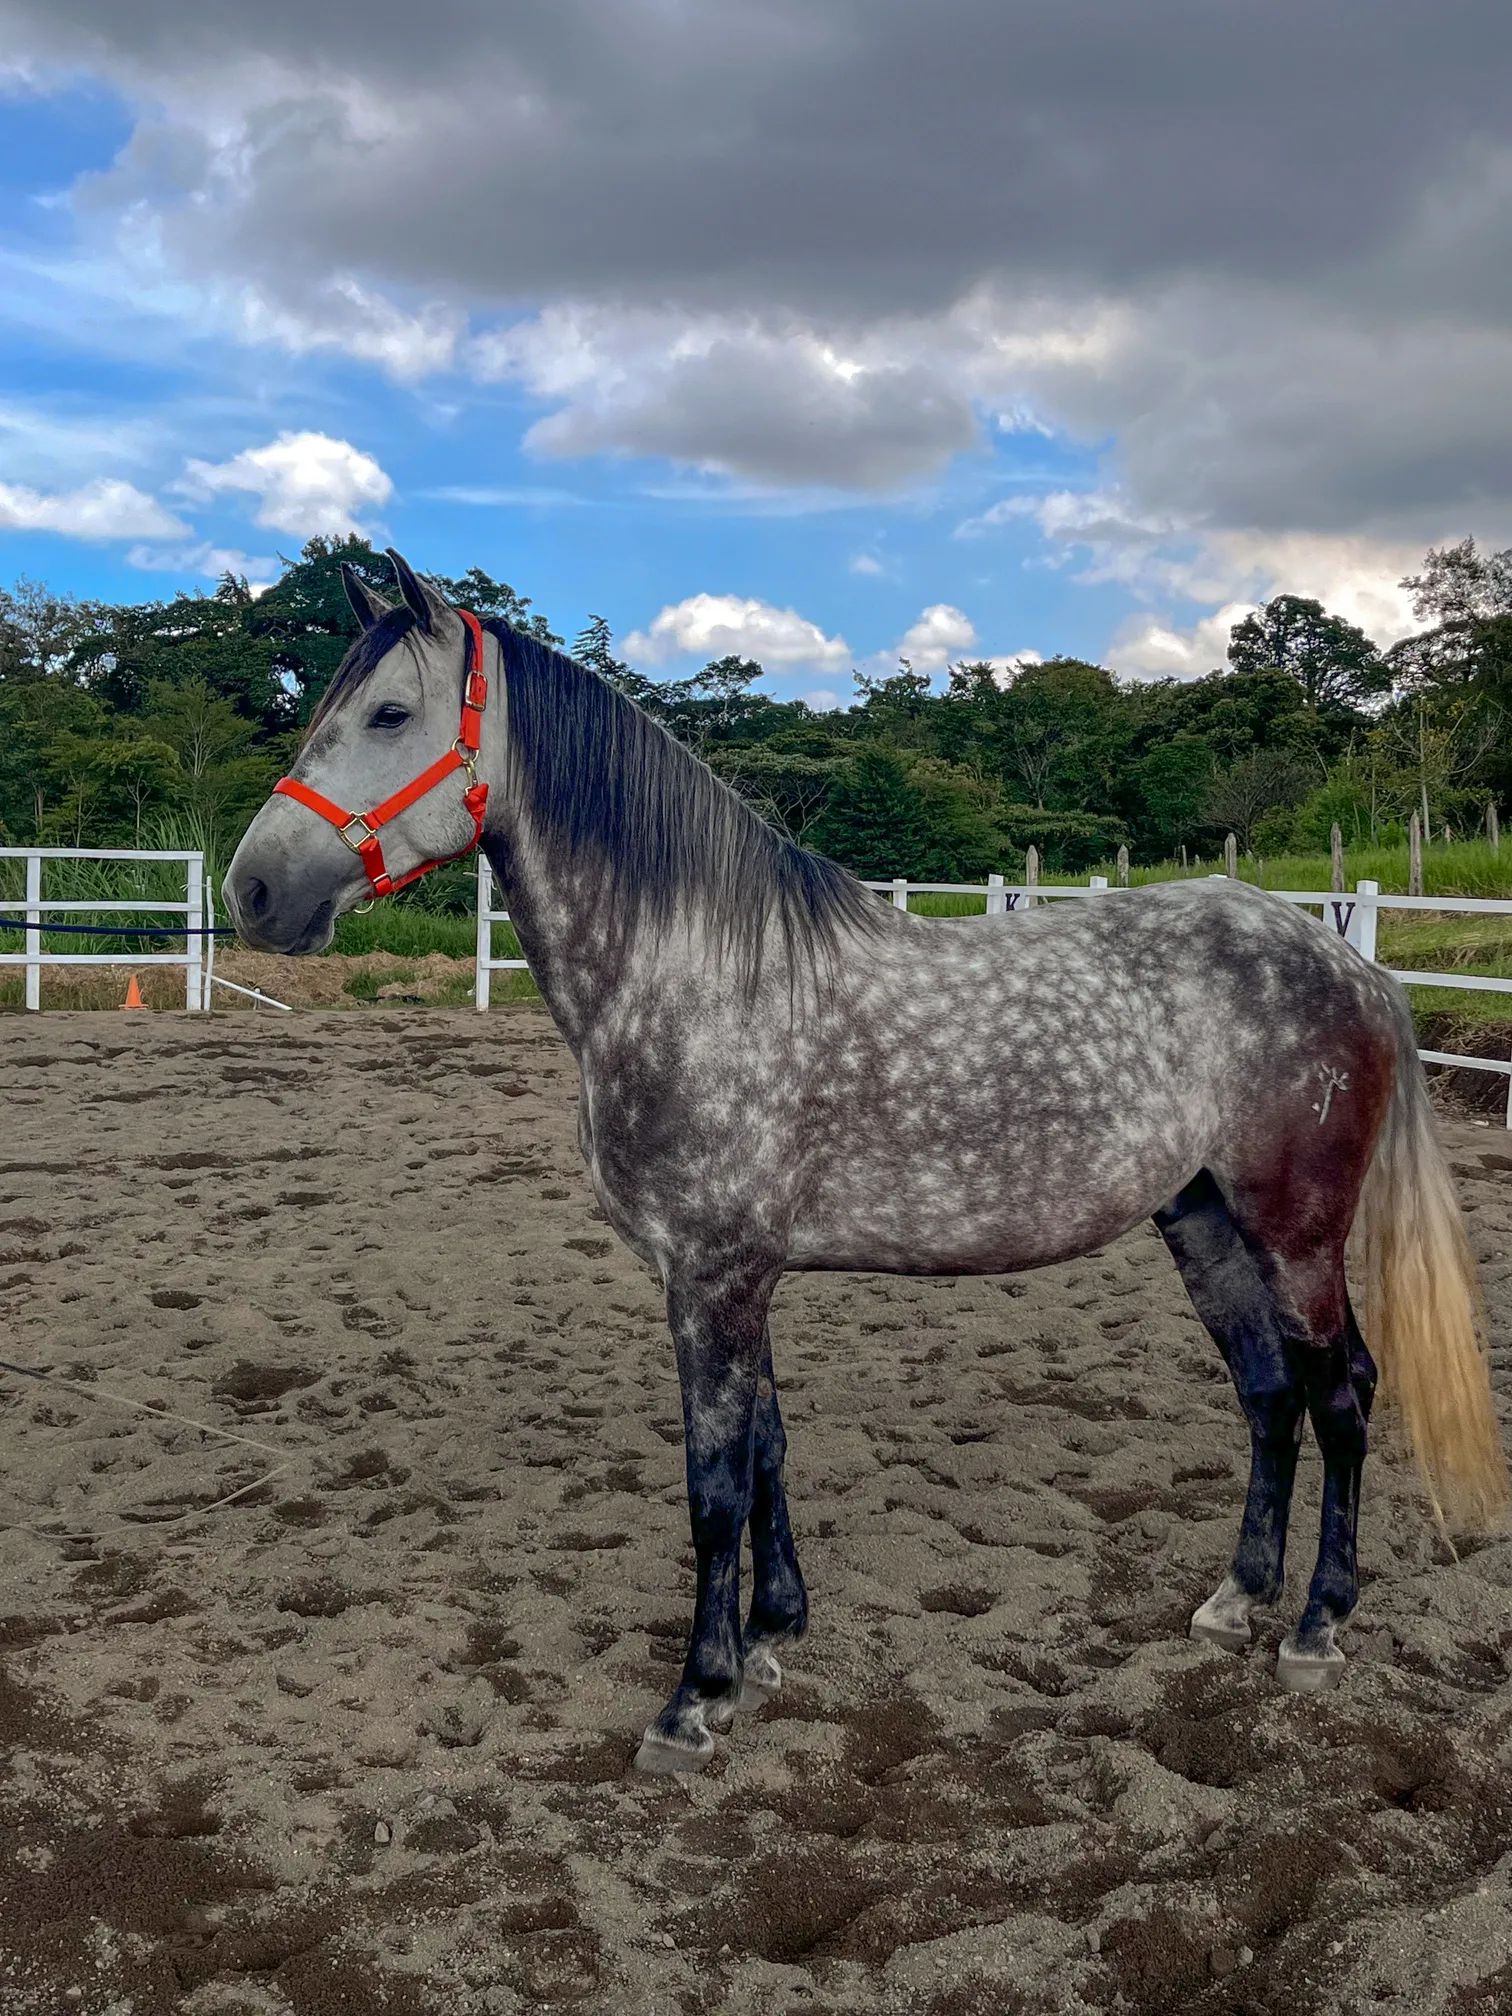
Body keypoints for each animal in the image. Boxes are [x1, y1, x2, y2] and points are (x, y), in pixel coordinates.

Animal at [224, 550, 1507, 1774]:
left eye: (390, 713)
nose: (252, 889)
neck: (693, 973)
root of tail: (1349, 962)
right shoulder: (737, 1278)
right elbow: (769, 1449)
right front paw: (771, 1639)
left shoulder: (710, 1277)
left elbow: (715, 1485)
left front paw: (694, 1701)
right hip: (1202, 1220)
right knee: (1269, 1393)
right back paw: (1237, 1599)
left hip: (1296, 1228)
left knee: (1343, 1395)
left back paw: (1317, 1626)